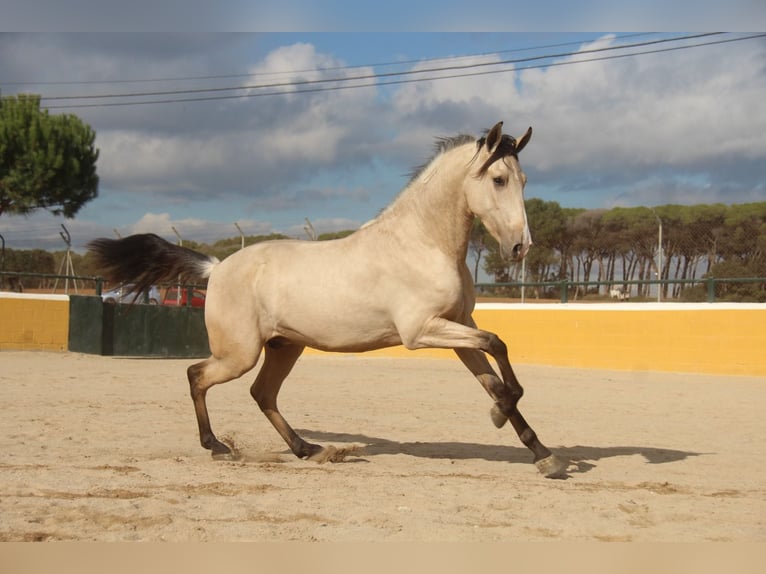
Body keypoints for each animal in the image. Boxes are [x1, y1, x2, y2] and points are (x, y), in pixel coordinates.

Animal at [88, 122, 568, 482]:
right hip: (239, 353)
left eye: (524, 180)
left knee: (262, 393)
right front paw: (501, 417)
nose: (520, 247)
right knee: (198, 376)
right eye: (499, 180)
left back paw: (311, 449)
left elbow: (494, 374)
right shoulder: (422, 330)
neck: (421, 243)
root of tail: (216, 267)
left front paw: (541, 453)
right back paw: (219, 446)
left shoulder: (457, 327)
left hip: (285, 346)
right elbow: (499, 346)